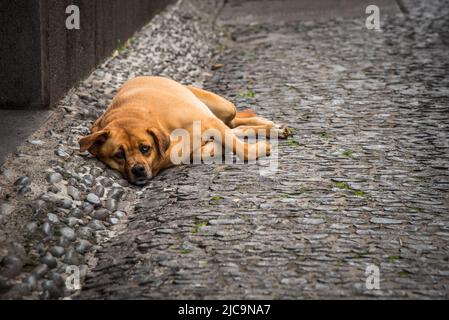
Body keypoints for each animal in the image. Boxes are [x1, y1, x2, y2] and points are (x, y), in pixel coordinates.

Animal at [79, 76, 288, 185]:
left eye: (145, 148)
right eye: (118, 155)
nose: (137, 169)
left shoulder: (209, 121)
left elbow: (242, 150)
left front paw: (256, 149)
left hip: (224, 107)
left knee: (234, 120)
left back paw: (270, 126)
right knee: (235, 127)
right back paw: (271, 128)